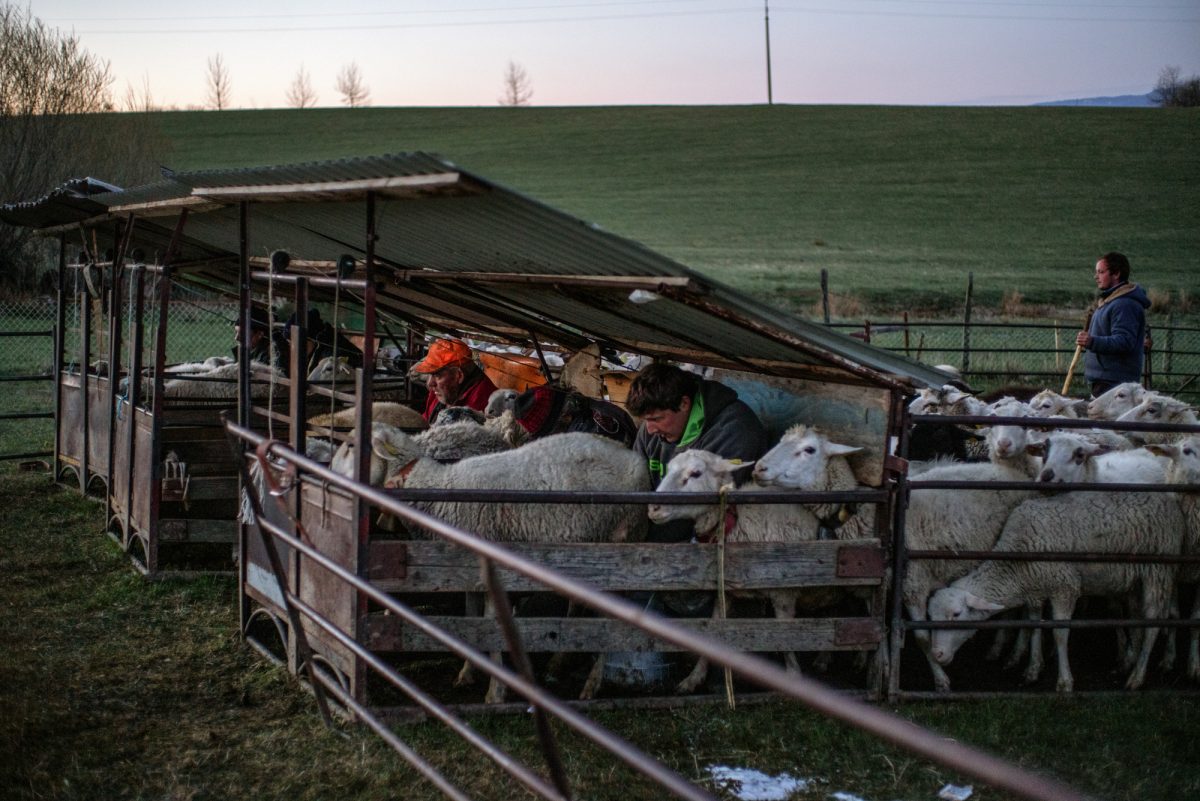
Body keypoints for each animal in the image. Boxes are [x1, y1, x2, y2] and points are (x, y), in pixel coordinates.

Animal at [921, 484, 1185, 690]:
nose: (937, 654)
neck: (1016, 559)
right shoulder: (1036, 591)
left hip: (1159, 569)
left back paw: (1137, 676)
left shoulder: (1064, 588)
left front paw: (1064, 682)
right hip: (1134, 579)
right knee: (1137, 618)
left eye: (956, 614)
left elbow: (1059, 633)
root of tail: (1167, 498)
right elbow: (1034, 625)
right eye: (930, 616)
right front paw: (1032, 669)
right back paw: (1129, 661)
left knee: (1153, 621)